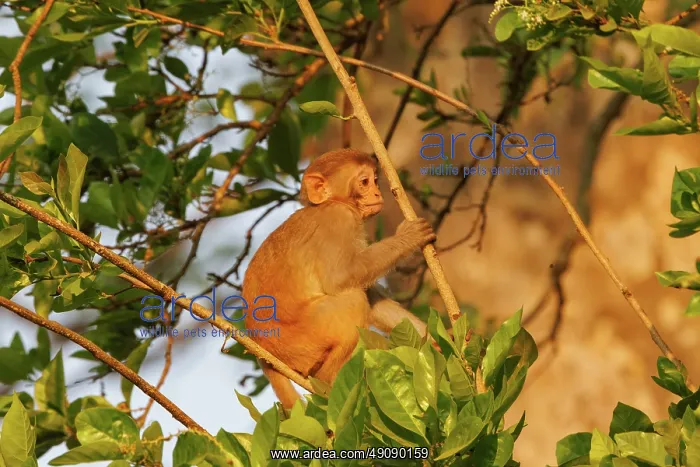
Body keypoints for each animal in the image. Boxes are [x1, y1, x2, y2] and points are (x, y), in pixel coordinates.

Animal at [242, 148, 436, 409]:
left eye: (375, 180)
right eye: (364, 182)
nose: (377, 192)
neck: (330, 202)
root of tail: (263, 351)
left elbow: (369, 294)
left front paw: (437, 339)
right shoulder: (339, 219)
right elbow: (342, 278)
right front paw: (408, 237)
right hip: (306, 338)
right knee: (353, 299)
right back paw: (329, 382)